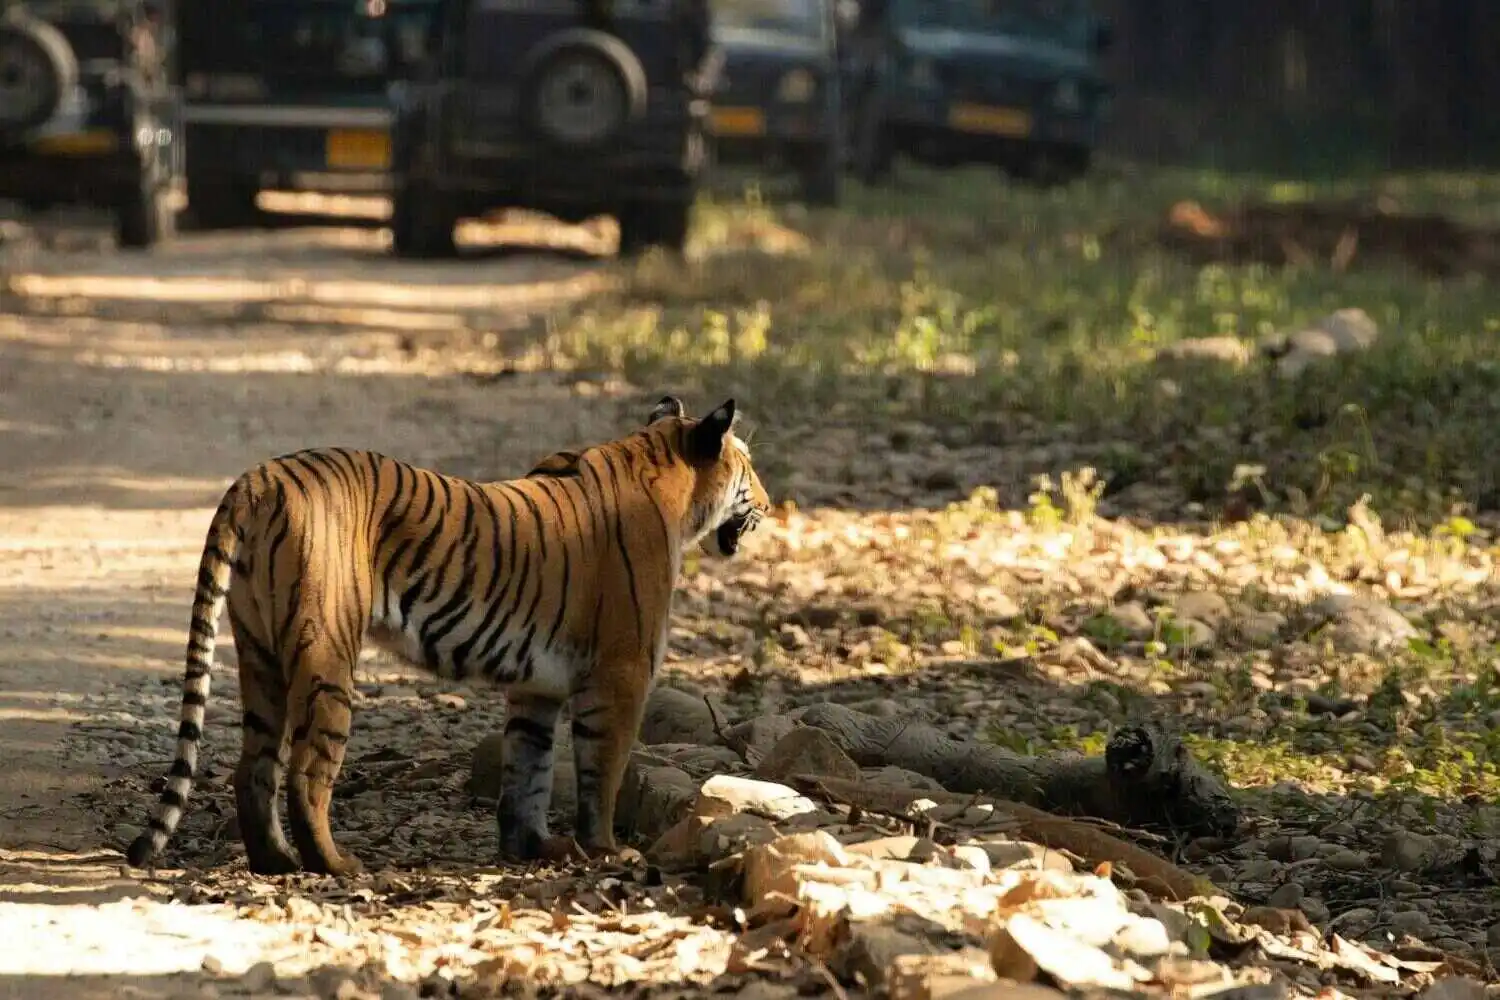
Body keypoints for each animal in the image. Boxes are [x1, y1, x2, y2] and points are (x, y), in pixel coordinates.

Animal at [123, 395, 768, 875]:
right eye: (748, 466)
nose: (768, 503)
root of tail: (257, 479)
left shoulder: (539, 685)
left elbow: (528, 769)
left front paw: (532, 848)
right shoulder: (621, 675)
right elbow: (601, 773)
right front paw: (607, 851)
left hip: (260, 656)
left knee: (252, 767)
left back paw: (274, 861)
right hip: (326, 656)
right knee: (307, 772)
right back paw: (337, 865)